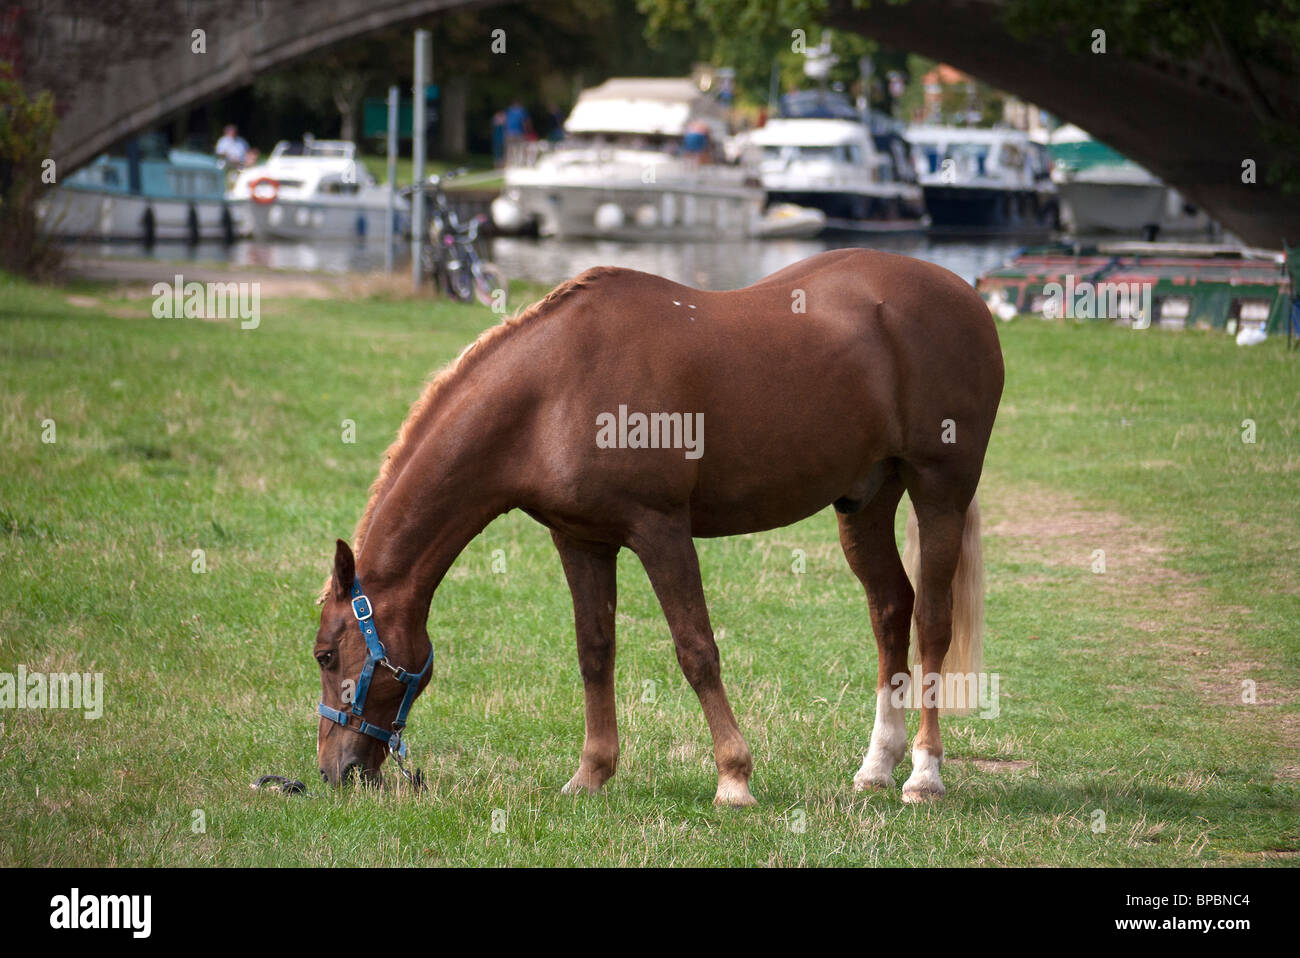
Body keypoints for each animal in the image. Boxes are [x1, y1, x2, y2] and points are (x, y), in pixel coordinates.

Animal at [314, 246, 1003, 800]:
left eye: (325, 654)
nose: (331, 772)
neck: (554, 390)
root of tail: (966, 293)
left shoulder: (661, 531)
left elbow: (696, 650)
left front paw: (734, 777)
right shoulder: (581, 540)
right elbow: (595, 652)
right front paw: (590, 774)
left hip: (940, 489)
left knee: (931, 620)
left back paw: (924, 774)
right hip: (866, 500)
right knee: (890, 610)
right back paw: (877, 767)